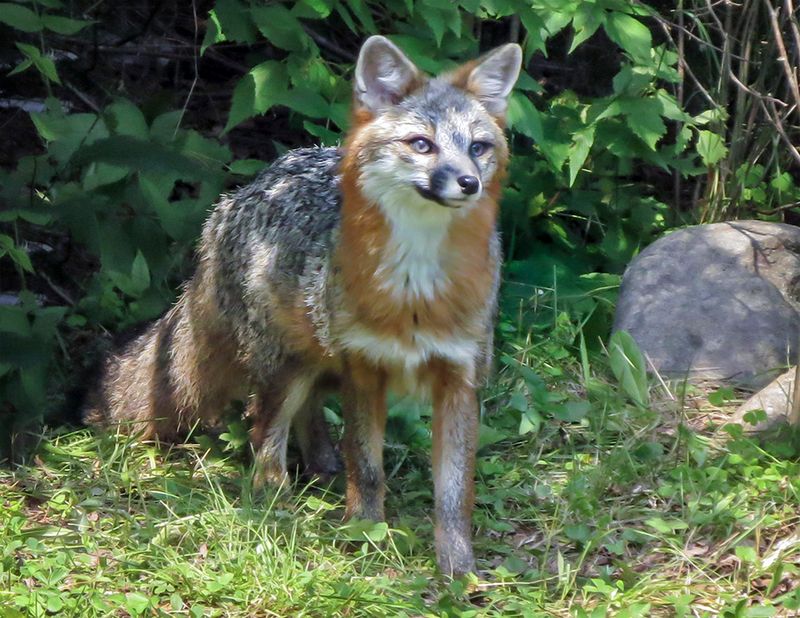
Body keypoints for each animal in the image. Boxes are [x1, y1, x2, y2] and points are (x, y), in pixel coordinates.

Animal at [83, 35, 522, 575]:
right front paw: (364, 533)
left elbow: (455, 493)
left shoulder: (460, 378)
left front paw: (459, 568)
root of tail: (243, 192)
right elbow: (367, 466)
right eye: (422, 144)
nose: (468, 182)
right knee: (265, 426)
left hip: (321, 359)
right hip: (287, 366)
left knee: (308, 410)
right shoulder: (366, 368)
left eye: (478, 148)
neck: (416, 290)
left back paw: (322, 466)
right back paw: (276, 498)